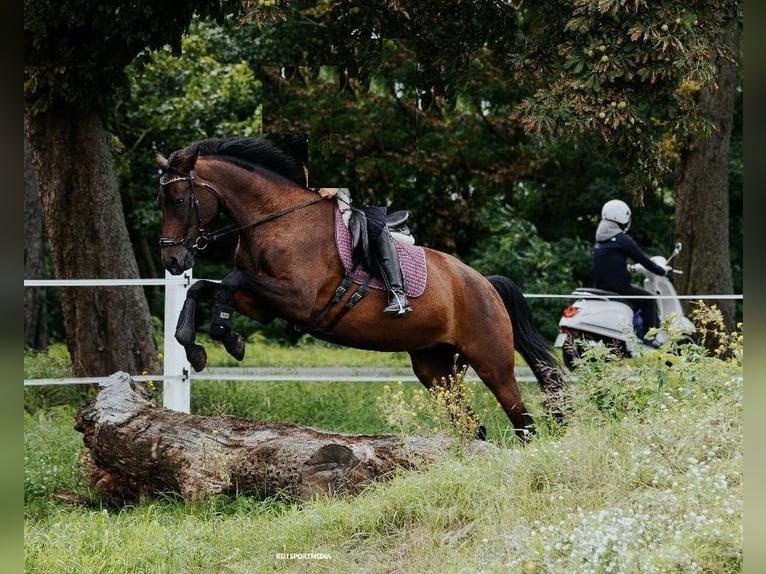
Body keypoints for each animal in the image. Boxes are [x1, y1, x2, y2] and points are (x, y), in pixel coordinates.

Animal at [156, 136, 566, 440]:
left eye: (179, 200)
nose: (172, 261)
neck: (274, 220)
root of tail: (485, 284)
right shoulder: (266, 305)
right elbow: (202, 288)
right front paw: (196, 345)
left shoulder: (297, 299)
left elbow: (228, 280)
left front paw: (224, 334)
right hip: (437, 369)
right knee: (472, 427)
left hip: (492, 362)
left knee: (524, 424)